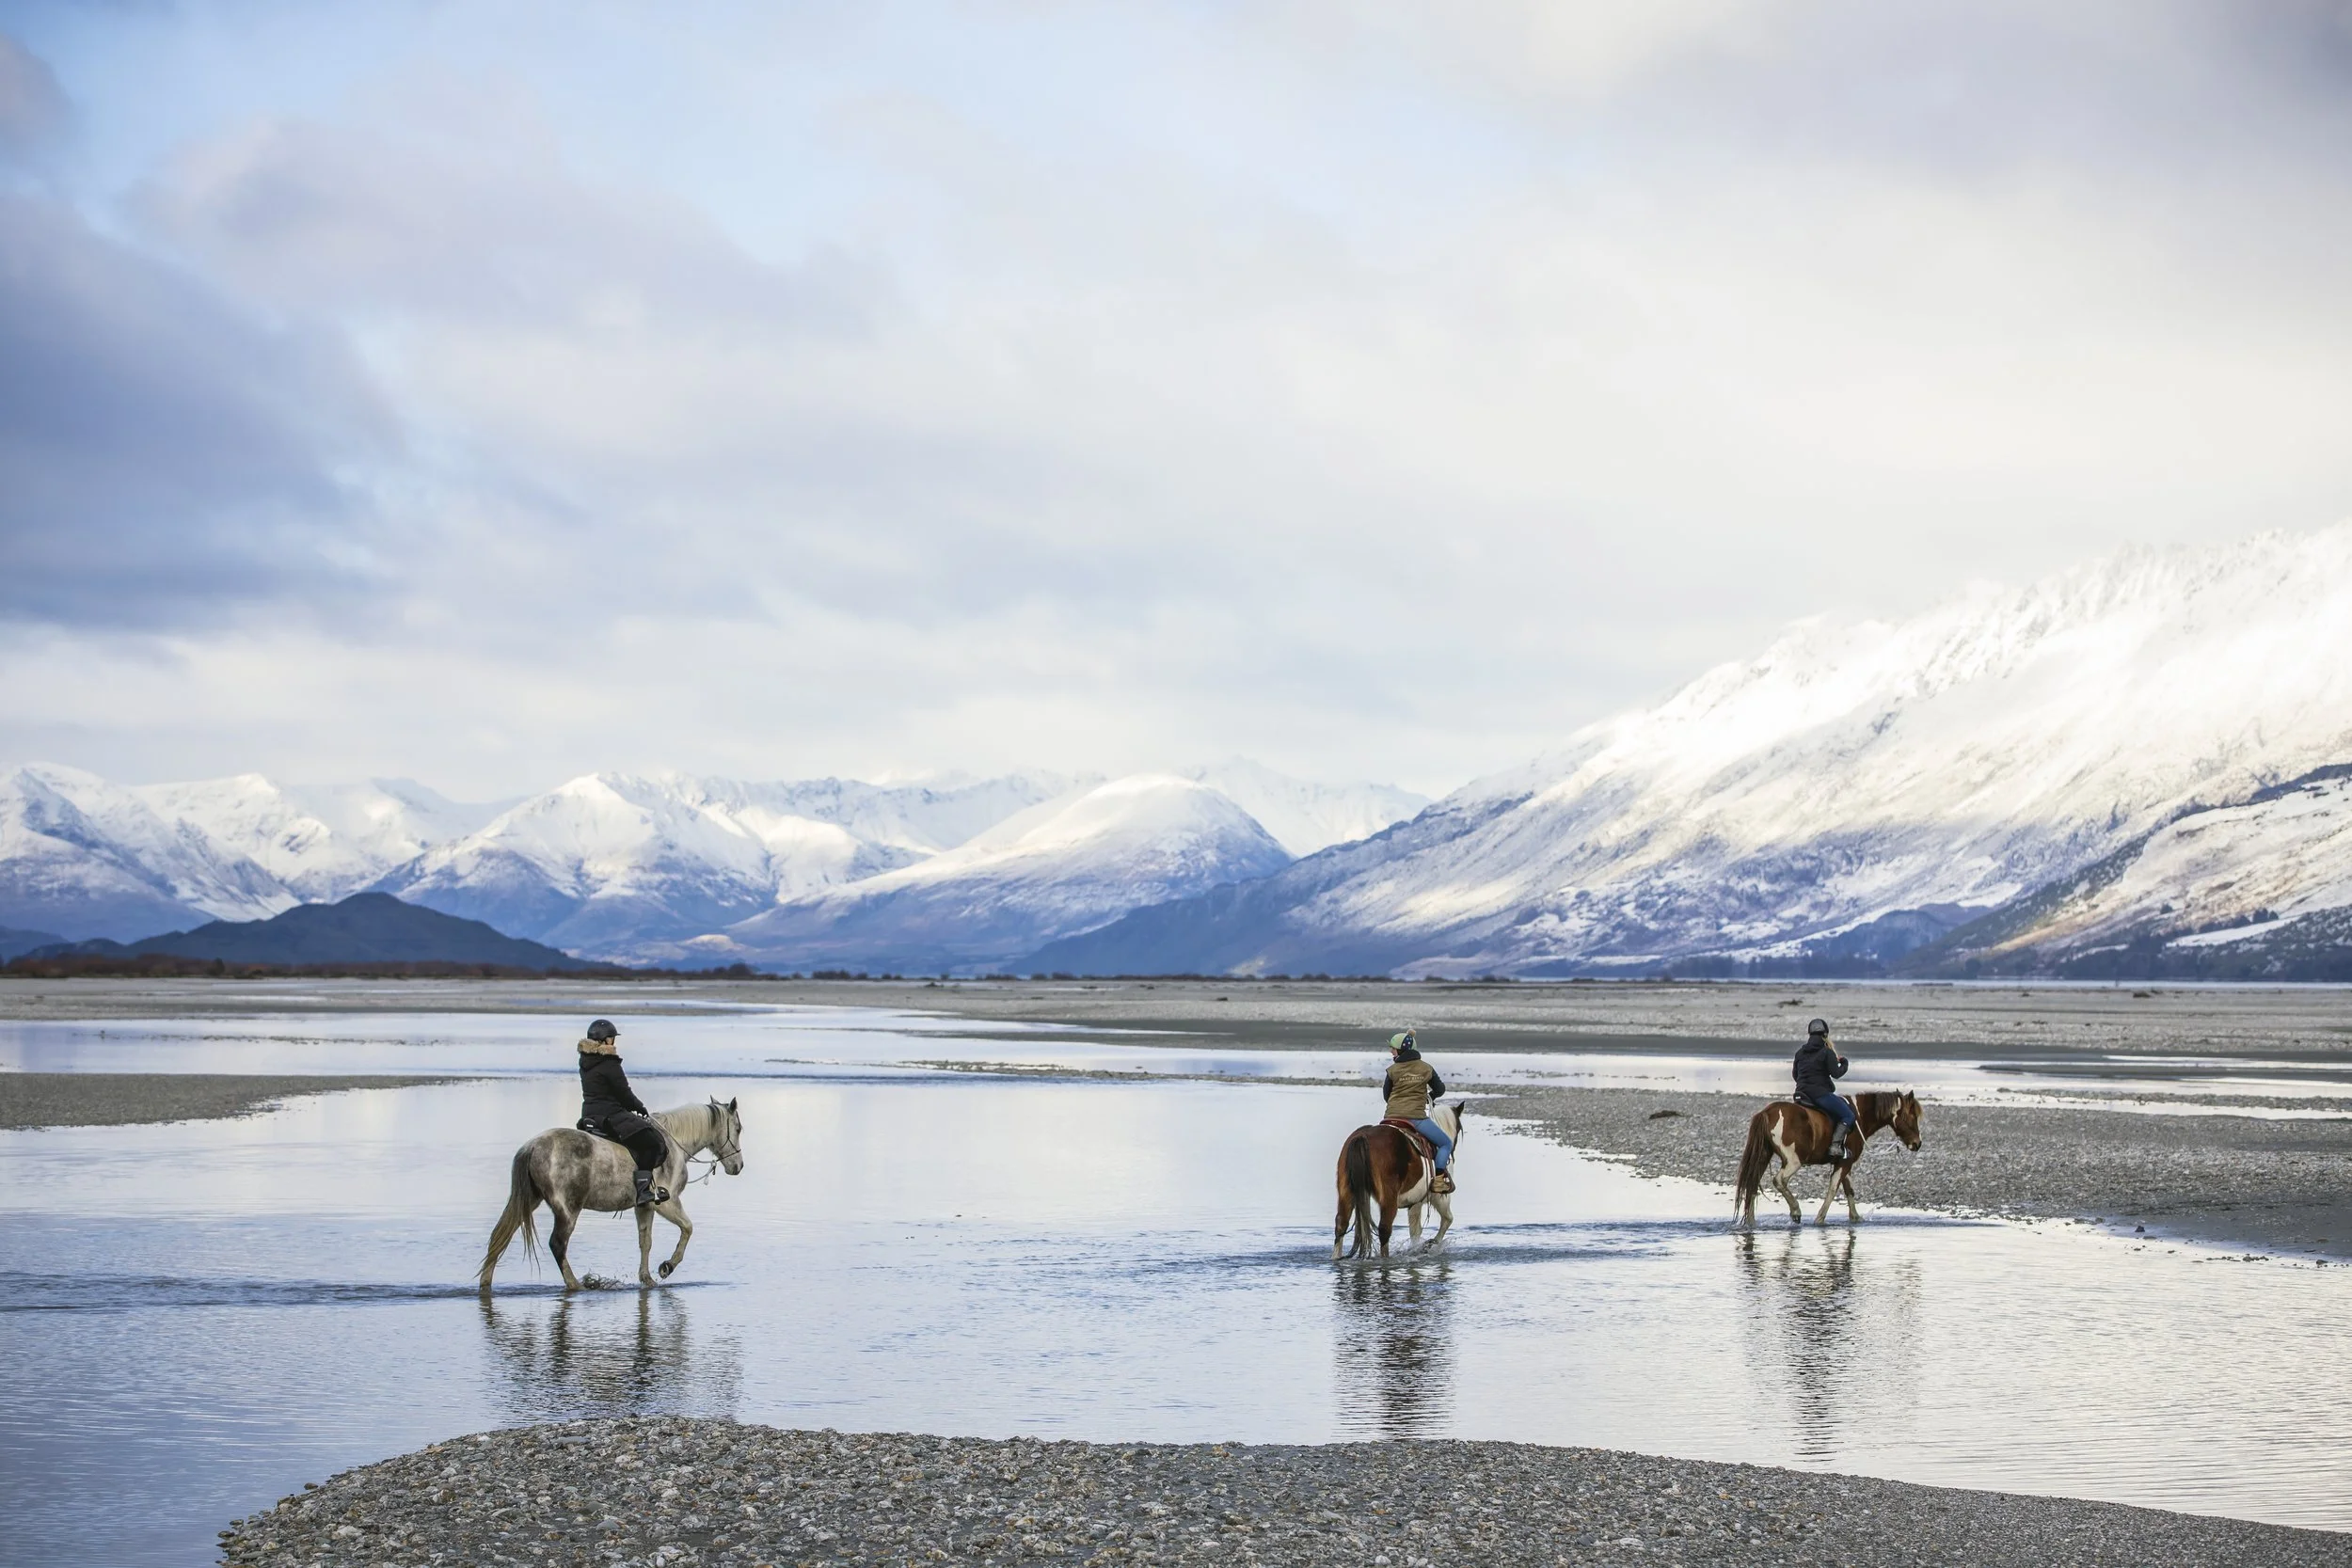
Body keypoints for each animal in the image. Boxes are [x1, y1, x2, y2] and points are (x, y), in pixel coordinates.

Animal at [478, 1098, 744, 1292]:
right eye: (739, 1128)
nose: (738, 1166)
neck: (674, 1143)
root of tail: (532, 1146)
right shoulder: (666, 1204)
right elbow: (688, 1229)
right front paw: (667, 1267)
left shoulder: (644, 1206)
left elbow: (645, 1242)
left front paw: (647, 1279)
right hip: (568, 1209)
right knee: (558, 1244)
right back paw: (576, 1285)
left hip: (530, 1200)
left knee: (500, 1236)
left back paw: (486, 1282)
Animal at [1333, 1101, 1466, 1260]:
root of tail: (1362, 1137)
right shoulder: (1438, 1197)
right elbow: (1447, 1219)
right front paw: (1429, 1244)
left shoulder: (1415, 1202)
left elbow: (1415, 1231)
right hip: (1389, 1199)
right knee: (1384, 1229)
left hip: (1346, 1192)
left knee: (1341, 1224)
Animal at [1734, 1090, 1921, 1228]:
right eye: (1912, 1116)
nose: (1917, 1143)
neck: (1859, 1115)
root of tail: (1767, 1112)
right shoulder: (1844, 1163)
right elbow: (1833, 1189)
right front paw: (1820, 1219)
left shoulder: (1845, 1163)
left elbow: (1849, 1190)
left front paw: (1855, 1218)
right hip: (1793, 1161)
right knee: (1779, 1180)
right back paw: (1795, 1211)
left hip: (1763, 1156)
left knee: (1752, 1183)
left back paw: (1751, 1222)